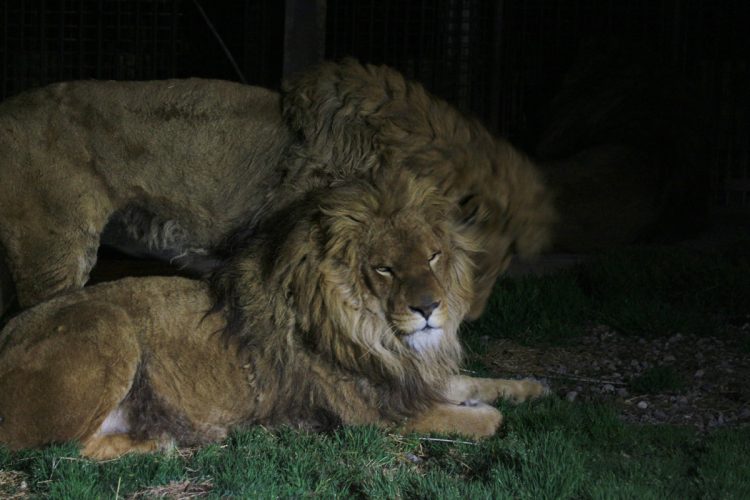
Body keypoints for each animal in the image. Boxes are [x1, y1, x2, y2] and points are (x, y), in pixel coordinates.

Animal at [0, 170, 548, 458]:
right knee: (62, 449)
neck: (378, 335)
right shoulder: (371, 417)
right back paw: (177, 438)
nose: (430, 308)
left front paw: (533, 388)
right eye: (384, 268)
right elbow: (483, 419)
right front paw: (487, 412)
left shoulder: (406, 379)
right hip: (109, 326)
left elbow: (477, 382)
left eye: (433, 256)